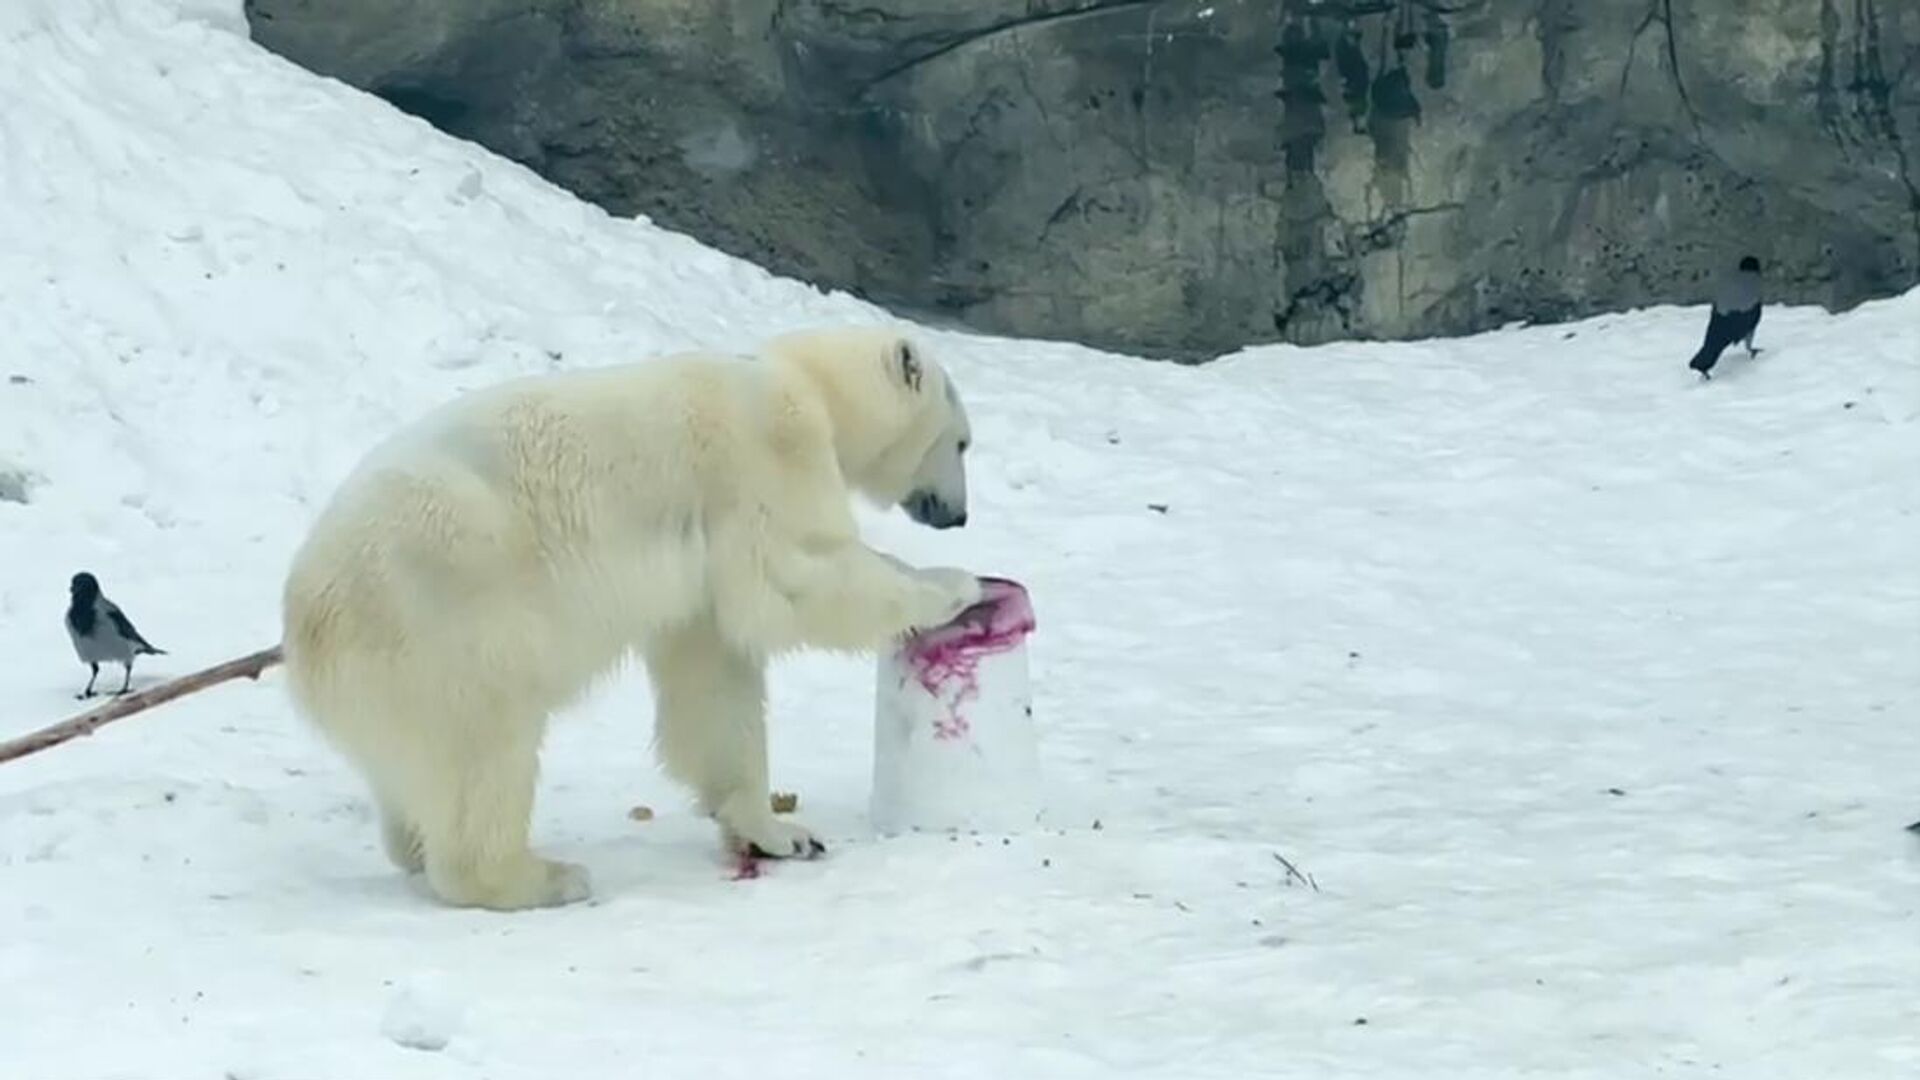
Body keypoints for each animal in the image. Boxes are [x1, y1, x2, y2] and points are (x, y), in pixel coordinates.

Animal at [278, 320, 983, 907]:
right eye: (963, 443)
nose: (960, 515)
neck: (802, 383)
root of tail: (307, 626)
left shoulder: (699, 571)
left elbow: (713, 675)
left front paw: (779, 832)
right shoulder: (762, 461)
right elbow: (790, 581)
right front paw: (954, 584)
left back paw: (415, 843)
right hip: (448, 616)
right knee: (485, 743)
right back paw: (542, 877)